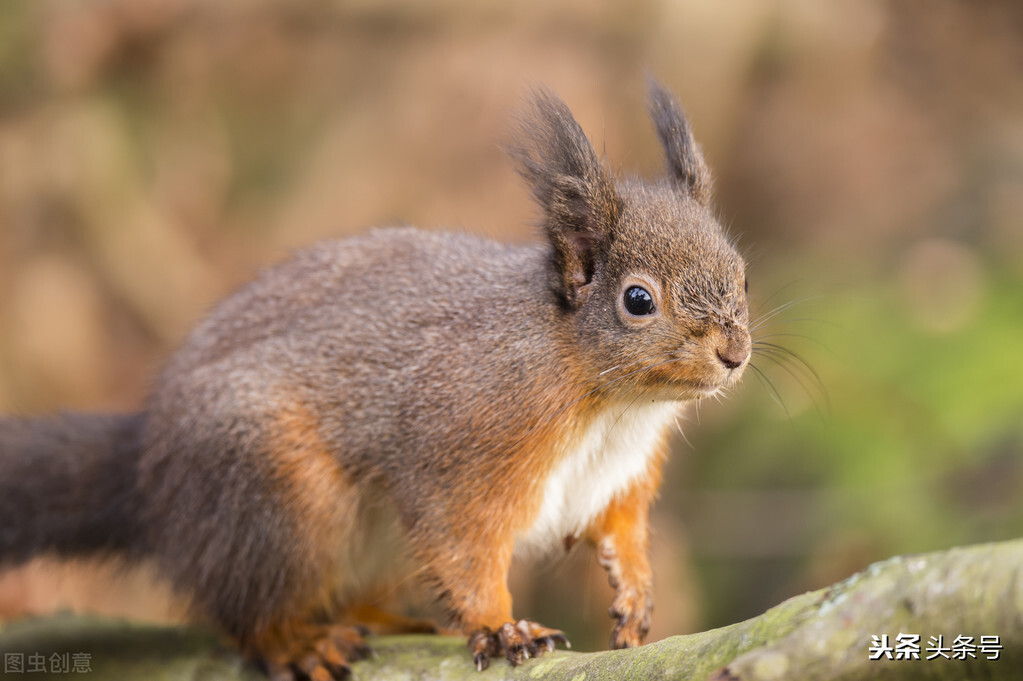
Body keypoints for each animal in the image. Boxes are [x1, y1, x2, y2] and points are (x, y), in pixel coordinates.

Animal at [0, 83, 752, 678]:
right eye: (637, 300)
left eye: (741, 274)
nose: (735, 352)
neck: (614, 405)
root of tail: (146, 474)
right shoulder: (466, 443)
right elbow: (463, 543)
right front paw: (502, 624)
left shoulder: (618, 474)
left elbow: (618, 527)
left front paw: (635, 590)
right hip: (276, 495)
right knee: (248, 609)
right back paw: (297, 640)